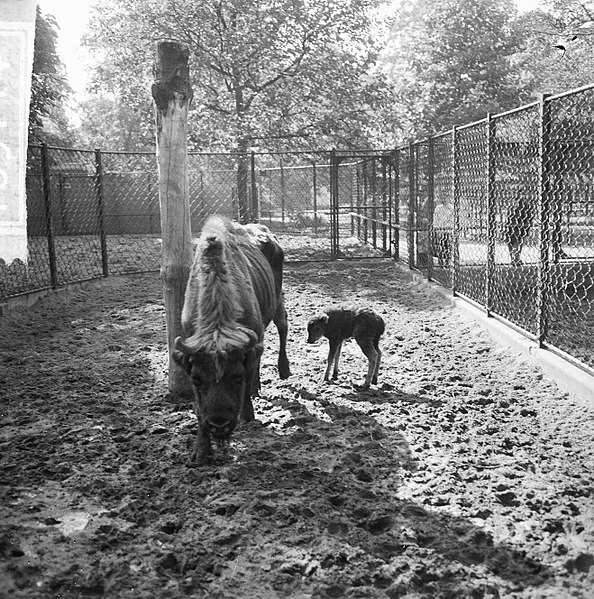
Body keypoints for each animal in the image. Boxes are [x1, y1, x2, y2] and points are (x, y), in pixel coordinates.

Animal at [171, 217, 292, 464]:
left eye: (236, 376)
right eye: (196, 379)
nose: (219, 425)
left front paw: (248, 414)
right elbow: (199, 409)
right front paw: (200, 451)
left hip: (277, 299)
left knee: (282, 327)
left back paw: (283, 370)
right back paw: (256, 388)